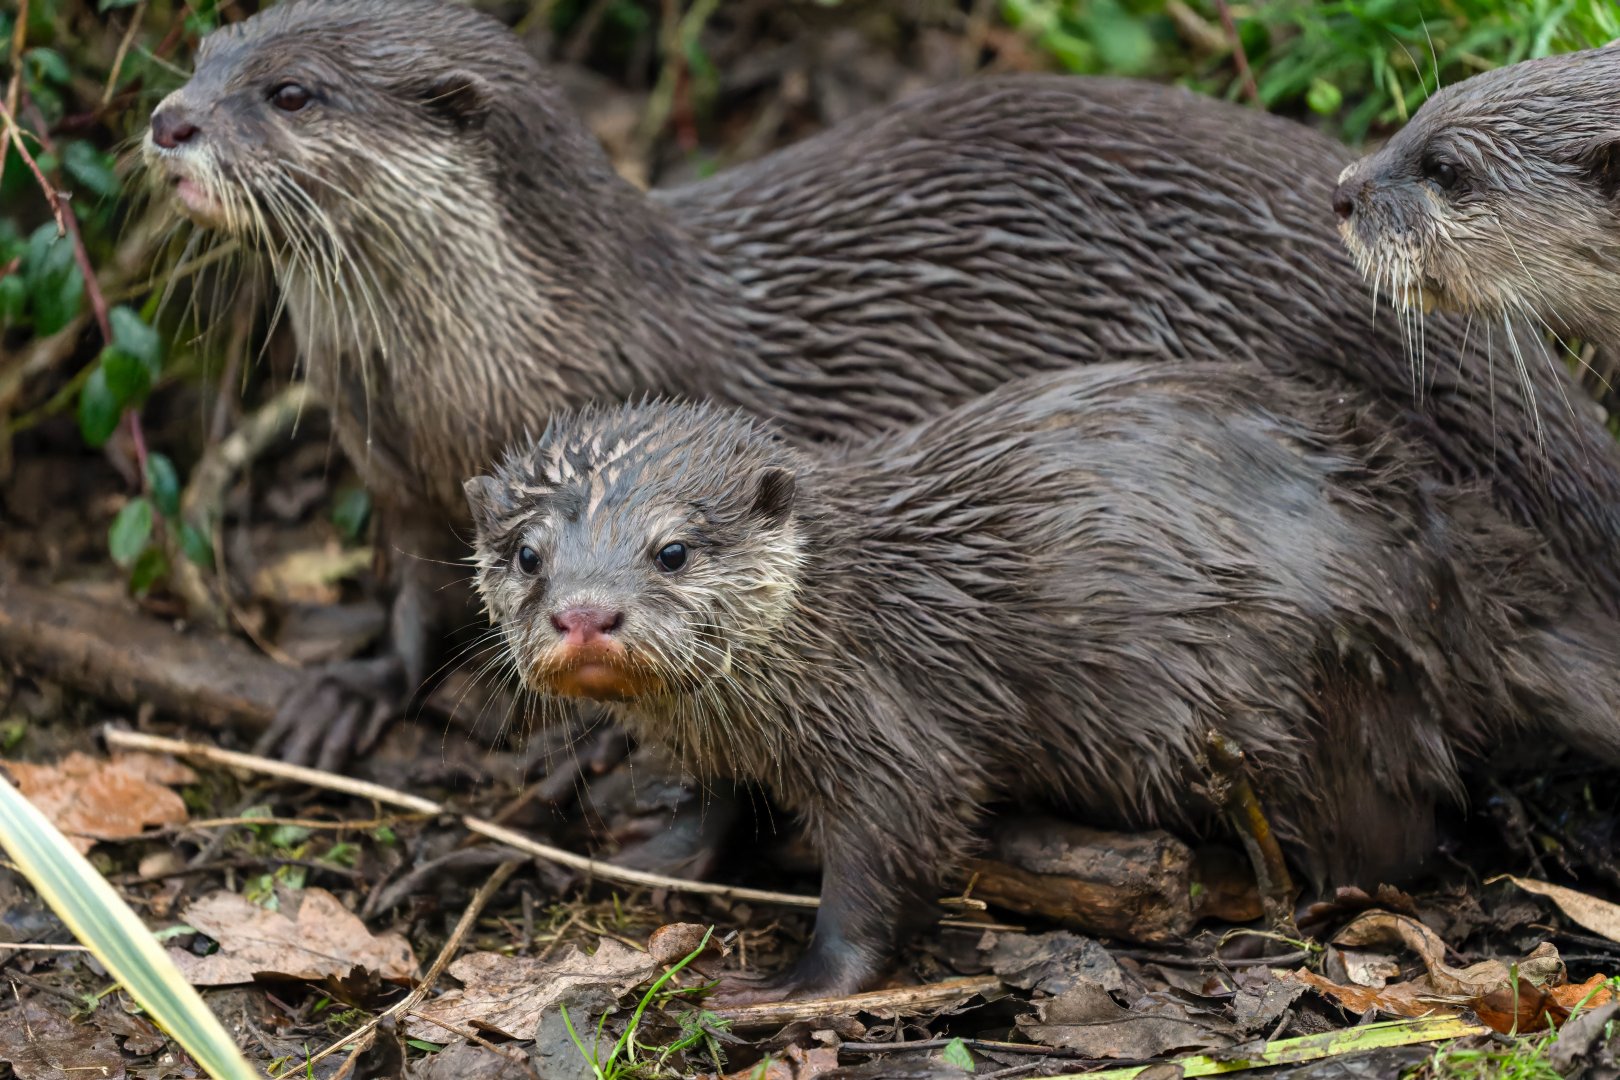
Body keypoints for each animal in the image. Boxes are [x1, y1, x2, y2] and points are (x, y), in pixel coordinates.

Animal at [465, 363, 1620, 1002]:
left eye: (671, 551)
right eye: (527, 555)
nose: (585, 614)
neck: (833, 624)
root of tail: (1452, 561)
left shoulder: (894, 730)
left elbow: (891, 854)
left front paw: (796, 983)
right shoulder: (724, 742)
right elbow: (713, 807)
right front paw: (641, 857)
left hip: (1322, 692)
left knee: (1399, 842)